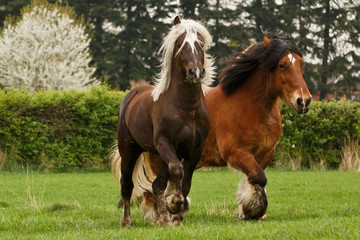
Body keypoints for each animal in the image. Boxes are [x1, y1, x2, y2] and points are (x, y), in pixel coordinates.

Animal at [109, 16, 215, 227]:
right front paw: (175, 204)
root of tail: (131, 95)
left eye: (200, 43)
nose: (196, 72)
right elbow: (177, 171)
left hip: (161, 154)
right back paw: (127, 221)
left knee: (158, 183)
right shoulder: (165, 143)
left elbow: (185, 181)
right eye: (180, 44)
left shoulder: (195, 149)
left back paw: (162, 218)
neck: (186, 107)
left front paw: (176, 216)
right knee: (127, 184)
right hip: (130, 149)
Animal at [122, 33, 310, 221]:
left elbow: (255, 179)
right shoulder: (235, 152)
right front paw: (253, 209)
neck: (250, 105)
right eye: (282, 65)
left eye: (301, 64)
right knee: (154, 188)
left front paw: (247, 210)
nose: (303, 101)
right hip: (160, 158)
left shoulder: (265, 154)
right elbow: (260, 178)